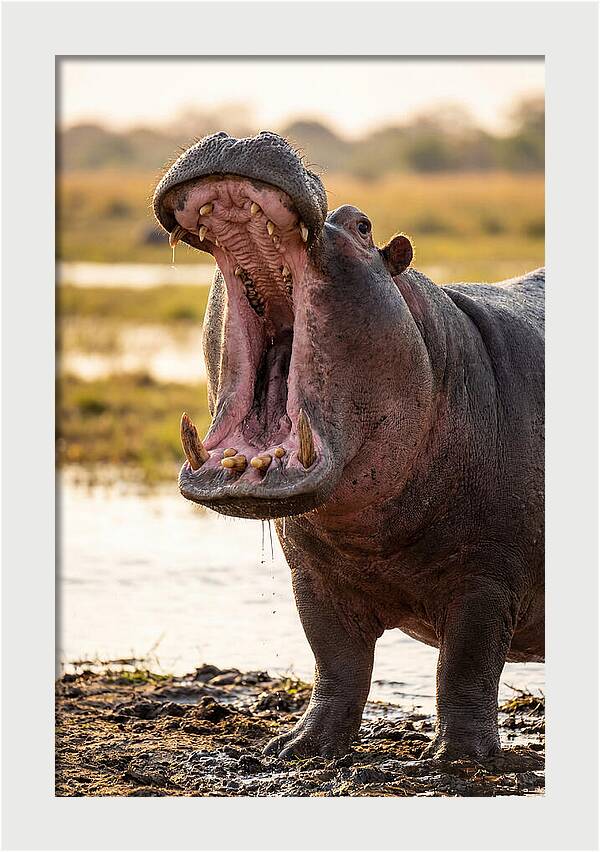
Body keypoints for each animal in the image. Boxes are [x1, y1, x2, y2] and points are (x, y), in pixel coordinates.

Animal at [153, 131, 544, 761]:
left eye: (362, 225)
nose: (243, 135)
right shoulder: (313, 578)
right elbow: (336, 661)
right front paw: (299, 748)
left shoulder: (487, 581)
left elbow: (466, 666)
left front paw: (458, 760)